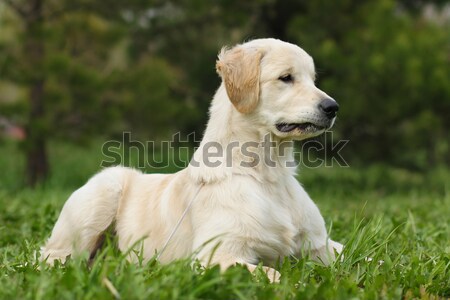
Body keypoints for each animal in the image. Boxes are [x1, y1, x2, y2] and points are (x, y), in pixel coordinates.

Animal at [43, 38, 344, 282]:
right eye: (286, 77)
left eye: (313, 79)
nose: (333, 107)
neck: (268, 173)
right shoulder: (217, 255)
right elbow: (276, 276)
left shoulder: (320, 244)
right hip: (105, 189)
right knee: (53, 257)